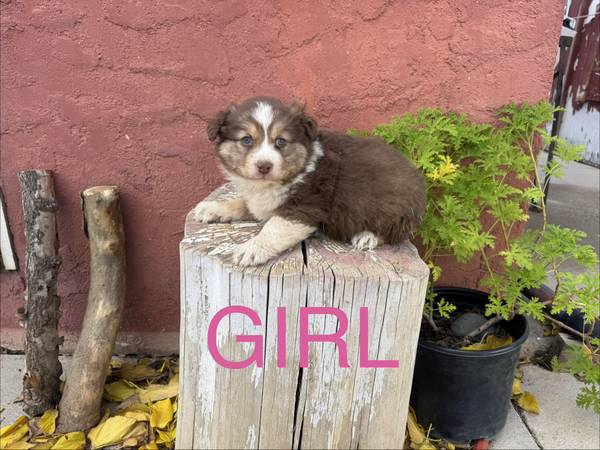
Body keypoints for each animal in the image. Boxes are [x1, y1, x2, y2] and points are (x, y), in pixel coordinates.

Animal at [193, 96, 426, 266]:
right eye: (246, 140)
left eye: (281, 141)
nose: (264, 166)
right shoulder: (262, 202)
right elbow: (241, 203)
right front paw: (211, 208)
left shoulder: (304, 209)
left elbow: (272, 229)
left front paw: (250, 249)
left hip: (393, 208)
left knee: (394, 233)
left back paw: (367, 237)